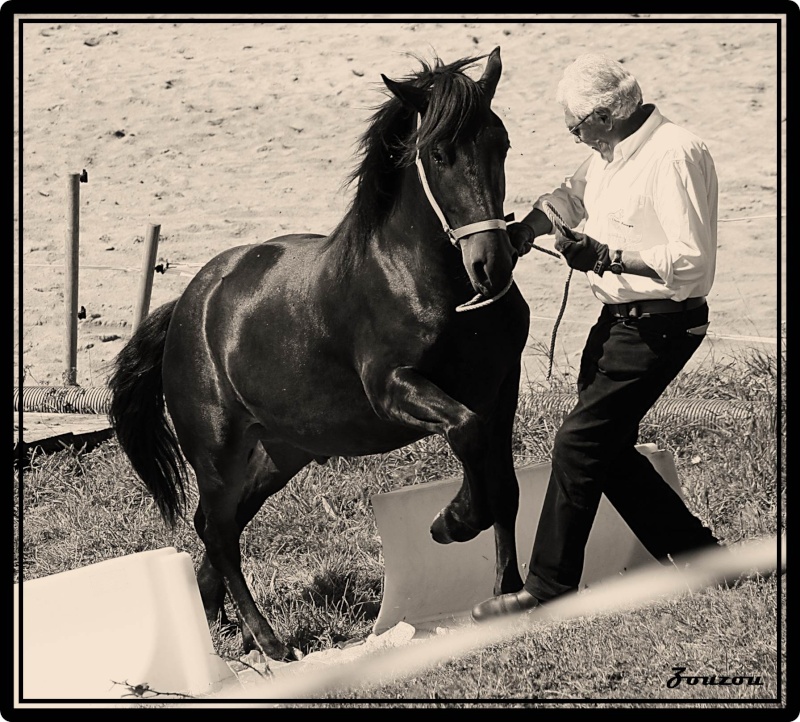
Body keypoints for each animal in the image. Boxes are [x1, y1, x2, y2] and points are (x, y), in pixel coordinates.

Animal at [108, 46, 532, 660]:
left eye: (500, 143)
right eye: (438, 153)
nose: (491, 266)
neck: (428, 282)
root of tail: (189, 305)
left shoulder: (501, 389)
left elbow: (503, 485)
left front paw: (510, 595)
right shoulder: (395, 389)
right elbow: (468, 437)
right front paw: (450, 522)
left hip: (280, 453)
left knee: (217, 526)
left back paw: (218, 620)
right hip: (217, 454)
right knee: (217, 530)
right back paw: (267, 640)